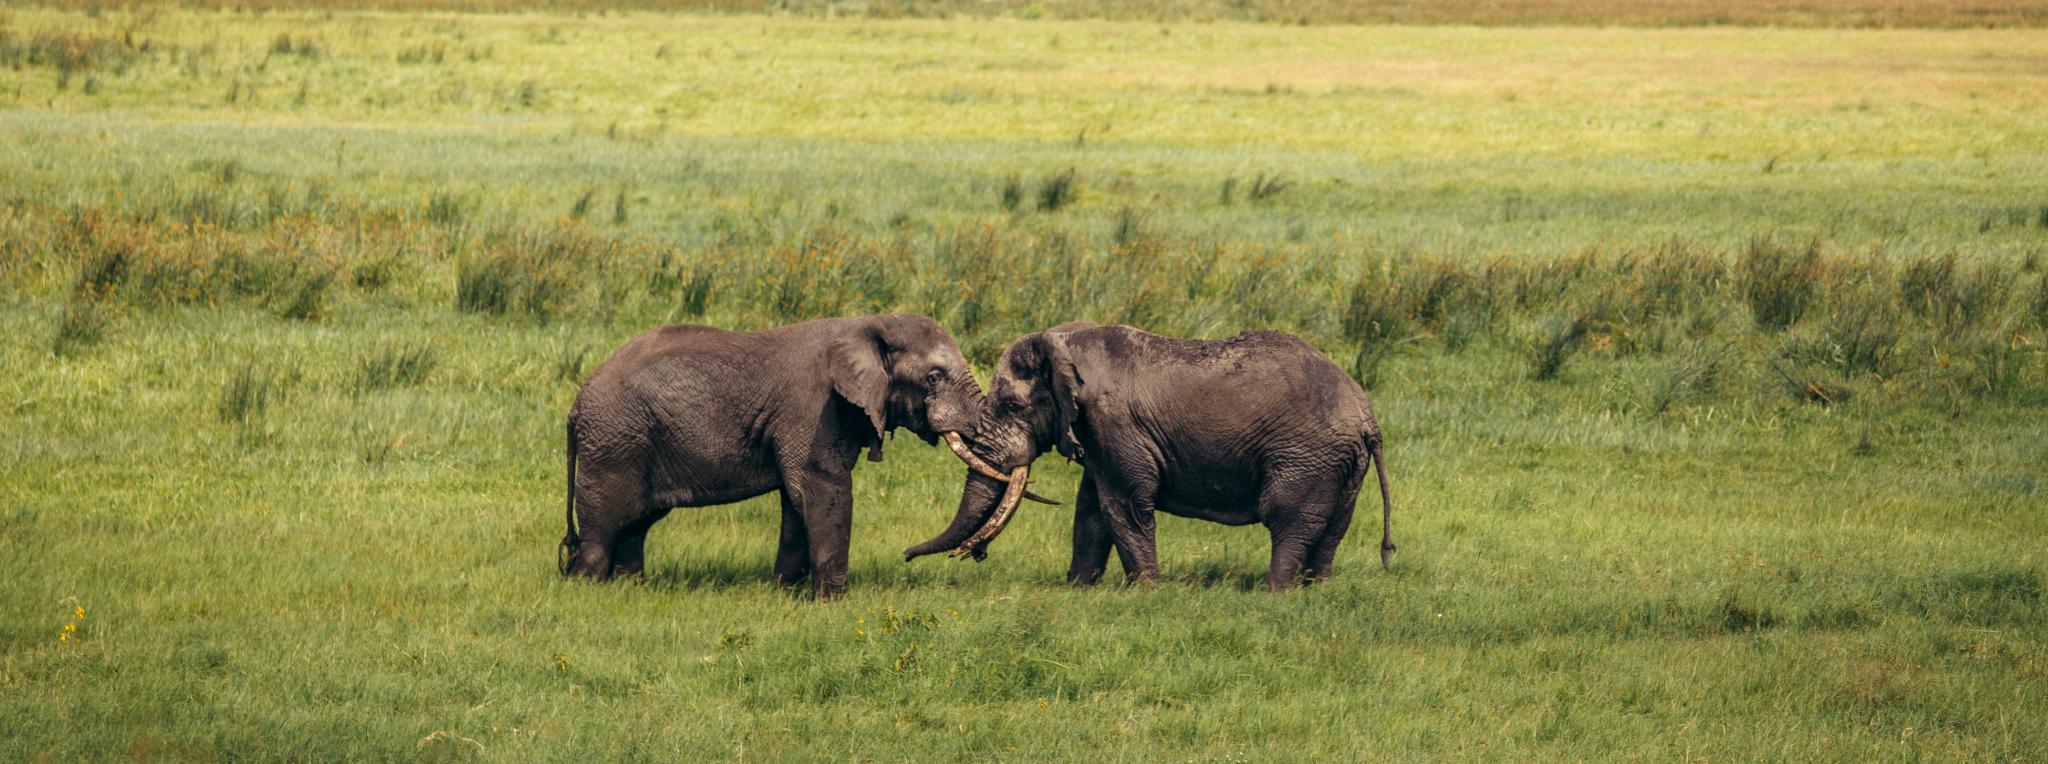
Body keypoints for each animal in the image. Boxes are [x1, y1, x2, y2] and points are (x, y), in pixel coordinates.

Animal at [561, 313, 1026, 597]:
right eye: (933, 378)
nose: (907, 556)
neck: (863, 325)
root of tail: (577, 403)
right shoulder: (812, 410)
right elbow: (821, 490)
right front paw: (831, 602)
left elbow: (796, 501)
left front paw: (786, 592)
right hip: (616, 443)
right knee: (605, 526)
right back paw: (588, 591)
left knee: (636, 524)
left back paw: (632, 589)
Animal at [903, 322, 1394, 591]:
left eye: (1010, 406)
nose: (906, 556)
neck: (1068, 343)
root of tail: (1366, 414)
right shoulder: (1097, 433)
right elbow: (1091, 508)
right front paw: (1078, 589)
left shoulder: (1114, 423)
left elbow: (1124, 504)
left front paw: (1146, 592)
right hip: (1342, 464)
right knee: (1331, 530)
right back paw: (1314, 591)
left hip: (1307, 457)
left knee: (1289, 520)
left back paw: (1274, 592)